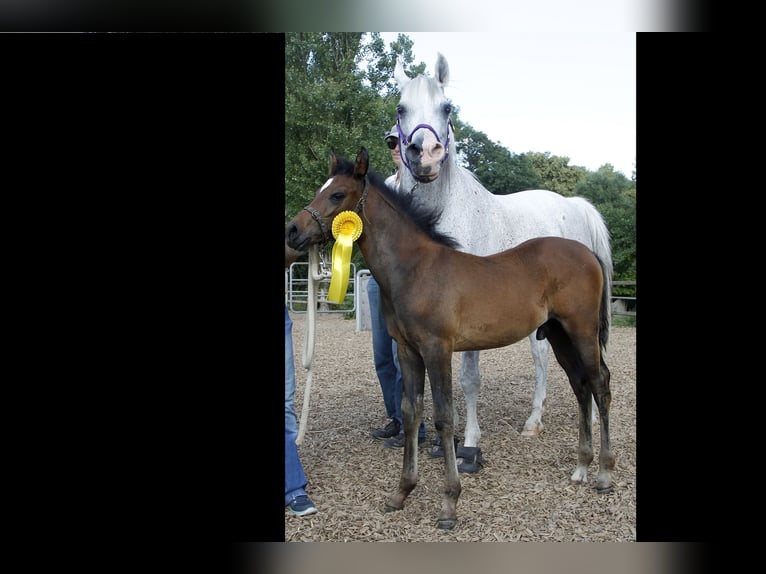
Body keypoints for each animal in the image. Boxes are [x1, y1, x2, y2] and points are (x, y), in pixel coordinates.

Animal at [396, 54, 612, 472]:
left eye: (447, 108)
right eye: (401, 108)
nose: (424, 155)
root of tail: (572, 204)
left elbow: (468, 379)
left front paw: (469, 443)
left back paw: (570, 420)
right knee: (543, 358)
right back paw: (534, 420)